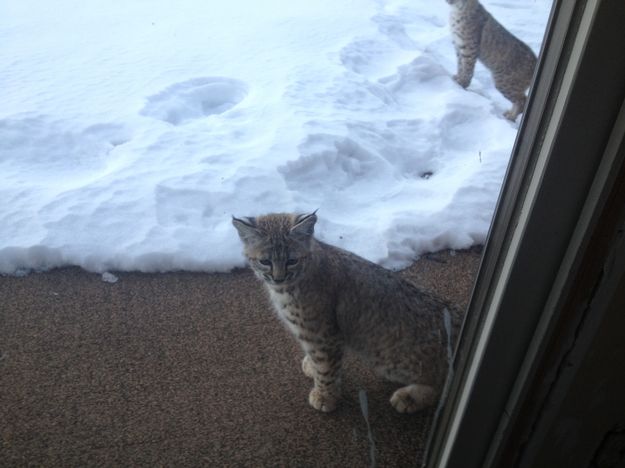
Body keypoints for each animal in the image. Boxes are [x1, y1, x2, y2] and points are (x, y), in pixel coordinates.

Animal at [232, 212, 460, 414]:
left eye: (291, 261)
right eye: (265, 261)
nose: (278, 278)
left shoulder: (323, 336)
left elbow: (326, 368)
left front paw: (325, 397)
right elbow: (316, 360)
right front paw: (312, 367)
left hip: (387, 356)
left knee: (445, 382)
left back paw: (409, 397)